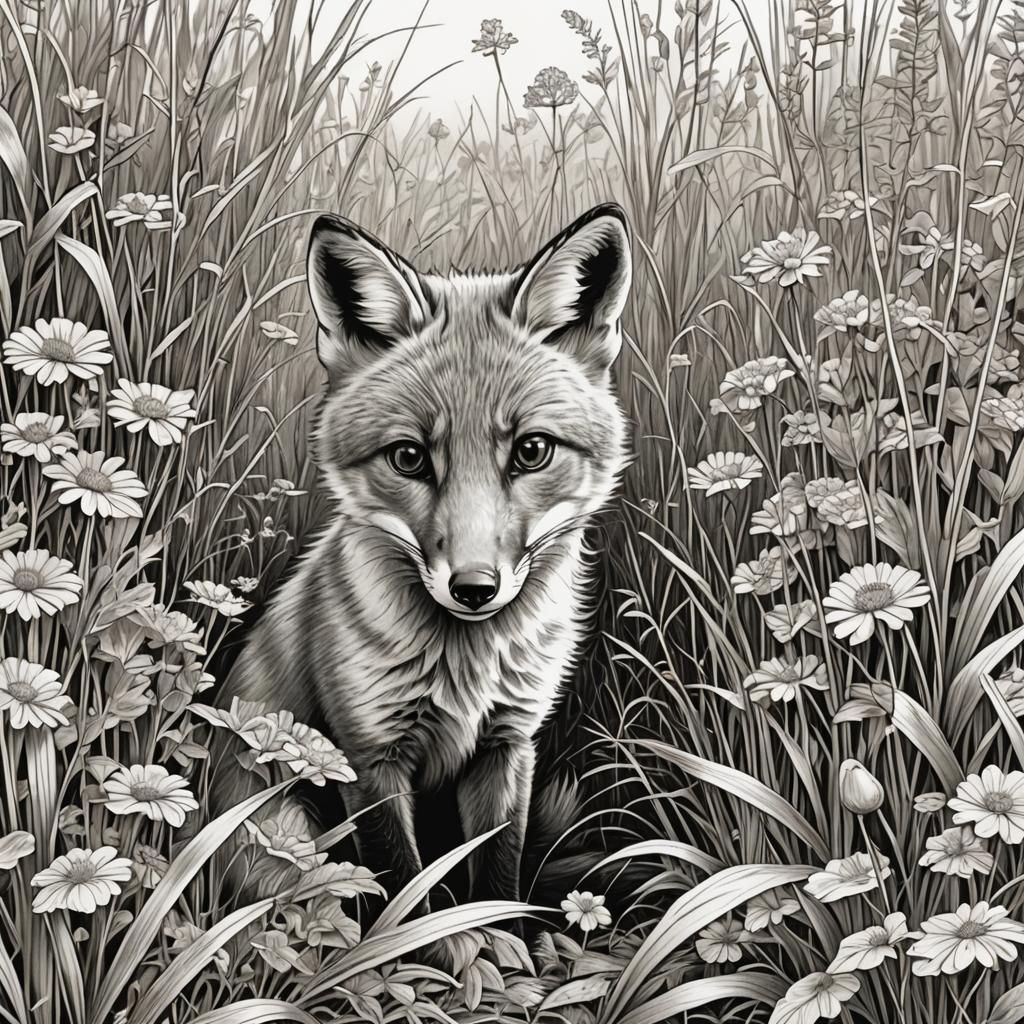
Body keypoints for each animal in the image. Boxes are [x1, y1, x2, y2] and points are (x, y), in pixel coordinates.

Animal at [220, 203, 632, 906]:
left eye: (531, 451)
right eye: (410, 457)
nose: (474, 588)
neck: (467, 665)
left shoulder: (507, 745)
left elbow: (496, 879)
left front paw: (498, 936)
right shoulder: (367, 758)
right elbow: (406, 892)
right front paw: (428, 940)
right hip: (282, 840)